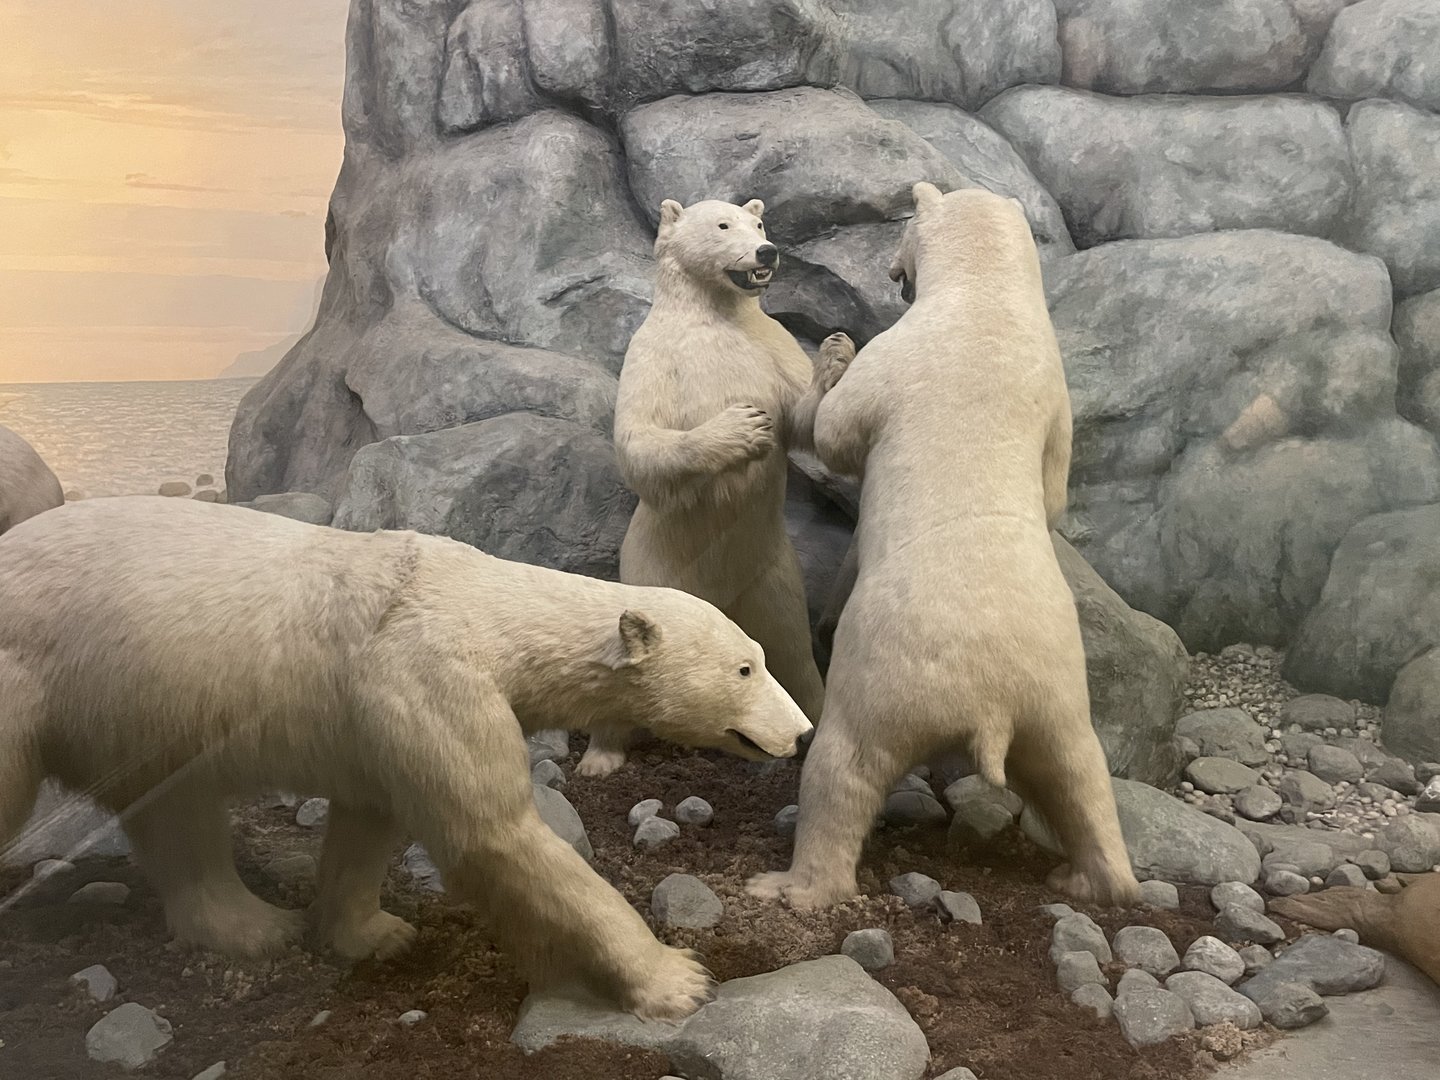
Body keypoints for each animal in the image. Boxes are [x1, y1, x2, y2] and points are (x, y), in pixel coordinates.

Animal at [0, 496, 812, 1020]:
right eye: (746, 668)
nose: (802, 733)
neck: (483, 605)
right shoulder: (429, 674)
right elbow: (496, 835)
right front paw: (677, 978)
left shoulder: (379, 722)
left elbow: (371, 819)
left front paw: (371, 933)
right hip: (28, 678)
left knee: (175, 810)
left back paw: (256, 924)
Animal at [576, 197, 847, 777]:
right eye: (723, 225)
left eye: (759, 223)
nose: (767, 250)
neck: (713, 313)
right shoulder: (653, 354)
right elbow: (641, 439)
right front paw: (741, 428)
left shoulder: (770, 347)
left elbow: (804, 419)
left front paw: (836, 355)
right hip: (655, 572)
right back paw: (600, 755)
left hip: (770, 574)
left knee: (790, 647)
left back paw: (814, 723)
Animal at [748, 183, 1139, 910]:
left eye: (902, 236)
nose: (892, 275)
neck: (986, 297)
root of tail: (988, 702)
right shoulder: (1056, 393)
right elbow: (1054, 491)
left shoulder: (903, 353)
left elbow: (839, 431)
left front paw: (833, 354)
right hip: (1053, 687)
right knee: (1078, 770)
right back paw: (1098, 878)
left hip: (889, 674)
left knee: (846, 763)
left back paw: (793, 883)